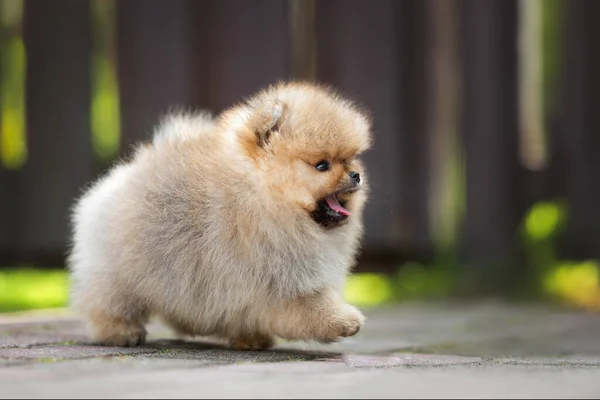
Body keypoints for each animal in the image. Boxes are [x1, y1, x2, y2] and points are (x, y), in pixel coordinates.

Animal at [68, 81, 372, 350]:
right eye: (322, 166)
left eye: (351, 159)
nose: (355, 174)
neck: (265, 196)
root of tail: (130, 170)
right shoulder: (278, 277)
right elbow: (310, 306)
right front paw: (345, 321)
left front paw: (251, 339)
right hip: (118, 272)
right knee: (107, 303)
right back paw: (121, 332)